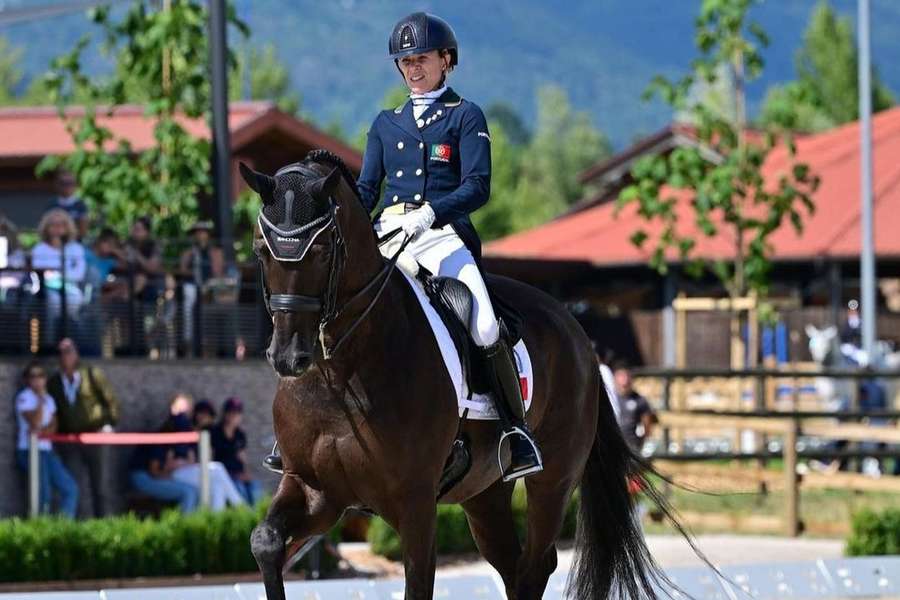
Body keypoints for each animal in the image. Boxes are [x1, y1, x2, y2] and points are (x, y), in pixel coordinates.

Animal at [243, 155, 672, 600]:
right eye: (260, 249)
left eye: (322, 249)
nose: (288, 356)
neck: (340, 373)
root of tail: (575, 329)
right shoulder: (316, 490)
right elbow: (265, 542)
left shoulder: (415, 502)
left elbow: (418, 582)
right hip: (486, 493)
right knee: (514, 566)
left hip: (553, 479)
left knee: (536, 563)